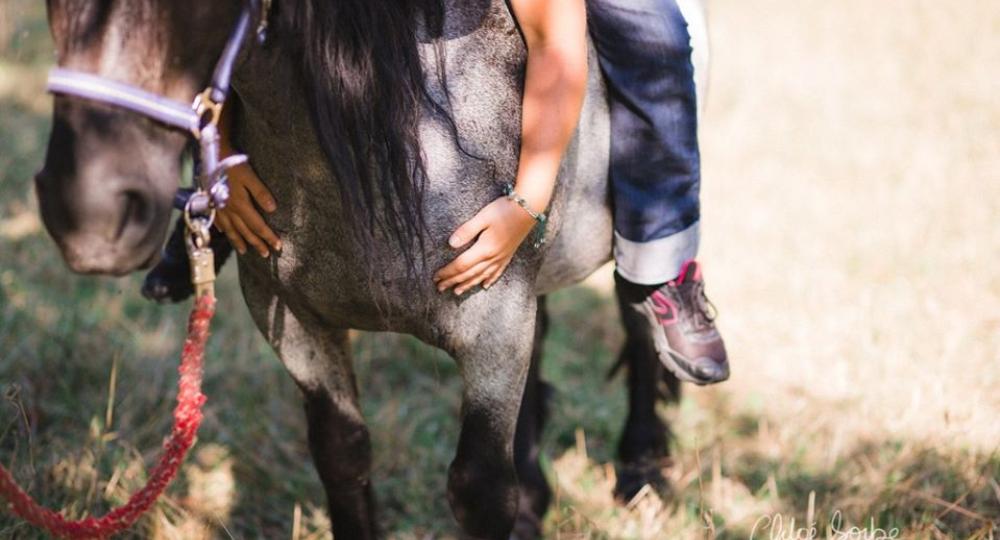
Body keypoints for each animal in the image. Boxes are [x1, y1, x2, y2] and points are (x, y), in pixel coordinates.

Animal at [33, 0, 704, 536]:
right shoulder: (293, 321)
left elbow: (480, 487)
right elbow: (343, 455)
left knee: (638, 308)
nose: (87, 210)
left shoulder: (494, 328)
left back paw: (642, 466)